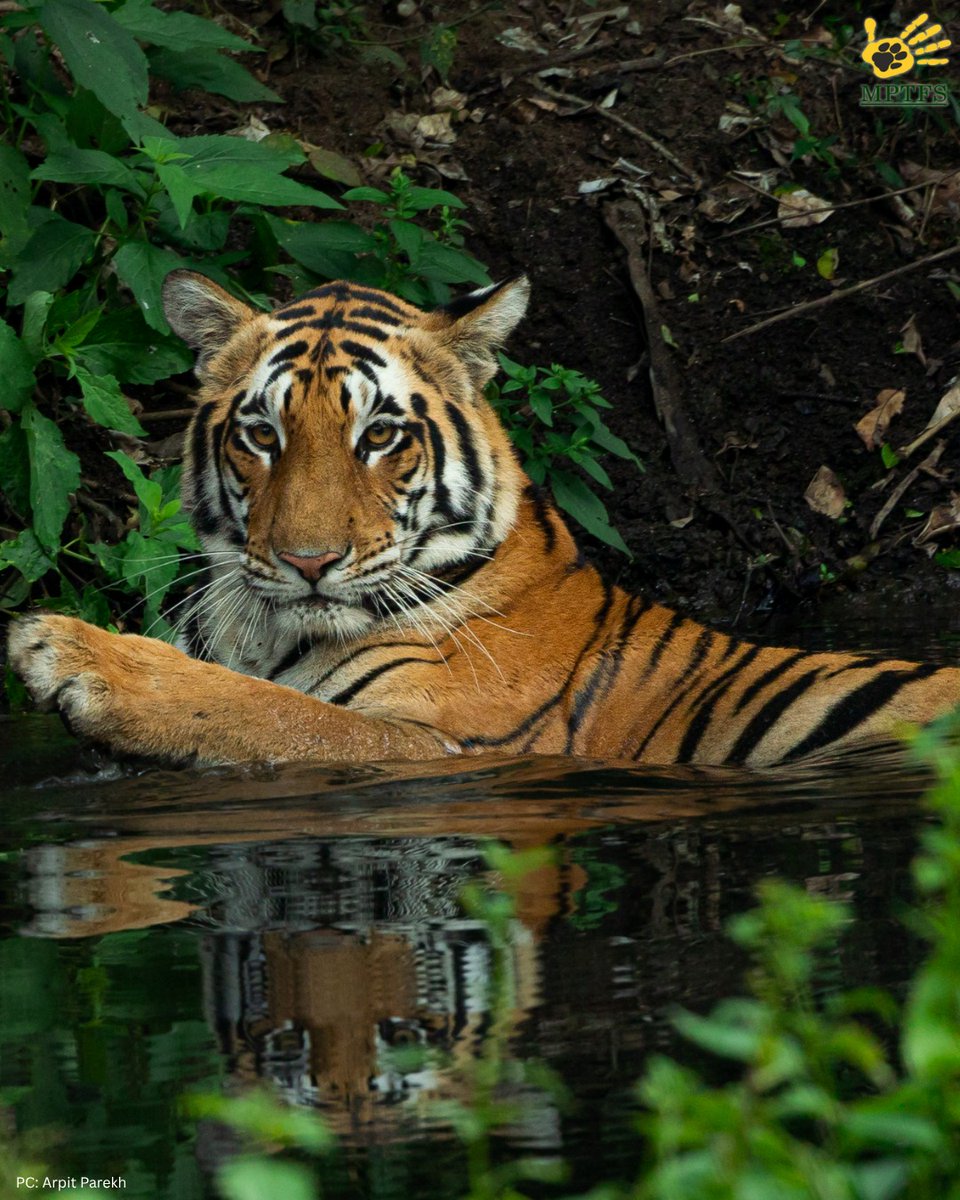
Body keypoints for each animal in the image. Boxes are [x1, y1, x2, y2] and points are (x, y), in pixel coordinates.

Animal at [8, 270, 960, 769]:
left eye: (378, 435)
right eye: (262, 435)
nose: (308, 561)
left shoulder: (437, 747)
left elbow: (268, 711)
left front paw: (72, 653)